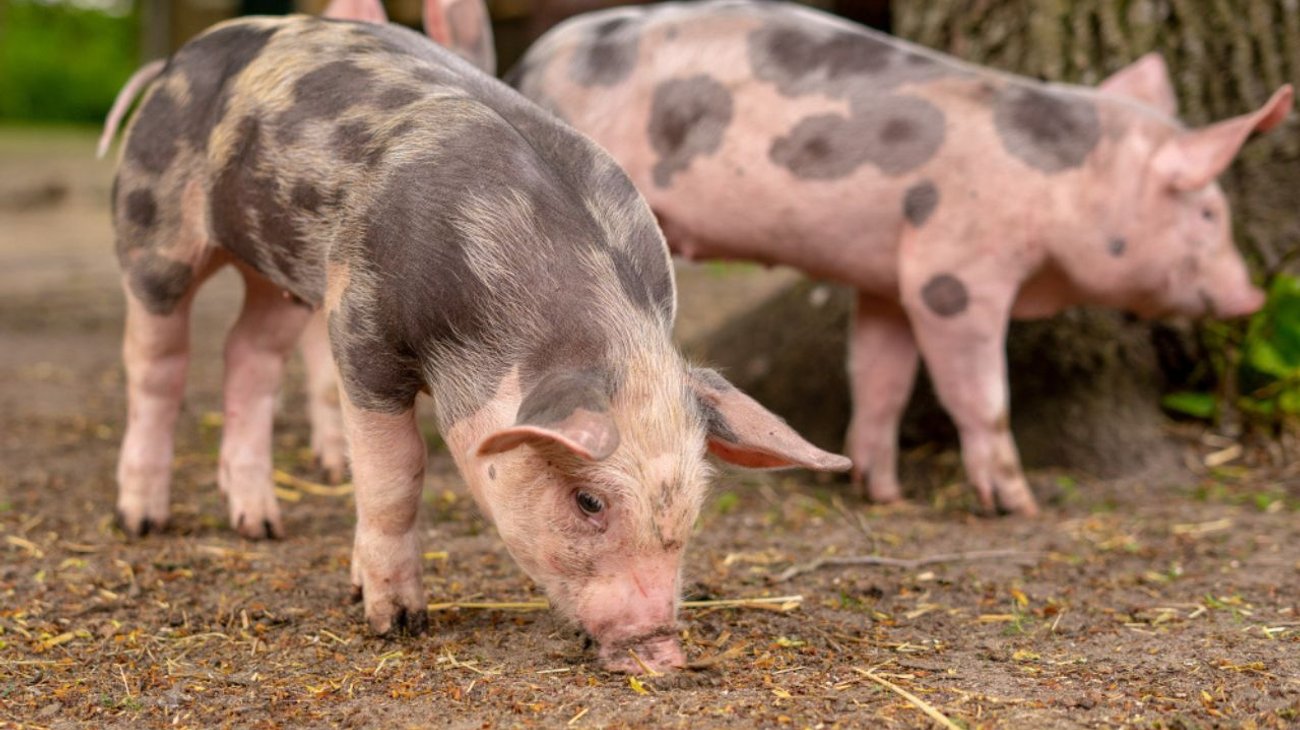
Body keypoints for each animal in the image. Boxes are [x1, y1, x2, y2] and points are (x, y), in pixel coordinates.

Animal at [98, 0, 849, 672]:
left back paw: (260, 525)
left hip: (279, 269)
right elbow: (394, 474)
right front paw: (395, 620)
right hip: (154, 231)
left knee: (247, 353)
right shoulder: (359, 326)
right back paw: (142, 519)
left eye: (693, 502)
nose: (662, 652)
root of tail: (174, 62)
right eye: (588, 501)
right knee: (155, 363)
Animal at [509, 0, 1295, 516]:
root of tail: (532, 63)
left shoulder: (887, 279)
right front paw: (1019, 506)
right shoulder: (953, 274)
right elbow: (980, 395)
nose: (1254, 295)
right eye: (1207, 212)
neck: (1063, 183)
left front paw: (880, 491)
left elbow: (881, 377)